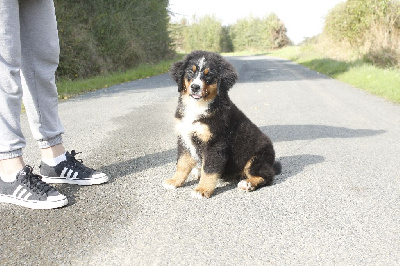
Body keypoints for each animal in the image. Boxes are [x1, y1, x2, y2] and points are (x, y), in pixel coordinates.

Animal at [162, 51, 282, 198]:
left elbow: (209, 170)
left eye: (209, 75)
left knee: (267, 176)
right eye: (190, 71)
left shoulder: (215, 143)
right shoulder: (183, 139)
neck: (197, 107)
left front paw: (202, 189)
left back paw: (248, 183)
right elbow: (182, 164)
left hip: (257, 158)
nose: (195, 87)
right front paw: (174, 181)